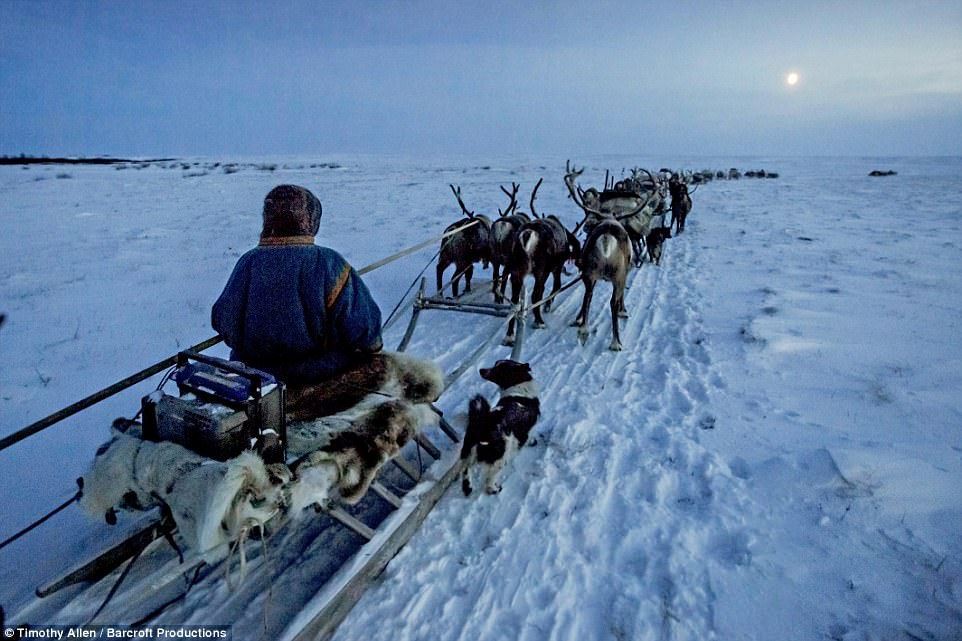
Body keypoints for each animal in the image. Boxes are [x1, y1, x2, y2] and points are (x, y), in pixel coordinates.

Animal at [460, 360, 540, 496]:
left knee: (465, 469)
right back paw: (494, 489)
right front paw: (532, 442)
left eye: (499, 368)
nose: (481, 370)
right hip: (500, 458)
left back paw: (468, 487)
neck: (517, 386)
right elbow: (529, 436)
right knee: (488, 481)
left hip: (468, 452)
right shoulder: (527, 429)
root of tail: (482, 423)